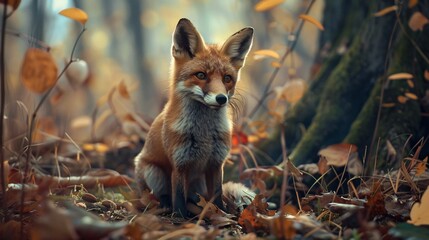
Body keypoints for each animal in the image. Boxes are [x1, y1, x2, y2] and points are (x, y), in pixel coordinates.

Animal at [134, 18, 252, 217]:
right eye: (201, 75)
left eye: (227, 78)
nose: (221, 98)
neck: (204, 133)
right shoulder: (179, 164)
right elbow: (178, 195)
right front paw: (180, 216)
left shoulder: (216, 163)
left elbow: (217, 194)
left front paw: (221, 213)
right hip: (153, 172)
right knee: (160, 194)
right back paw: (165, 205)